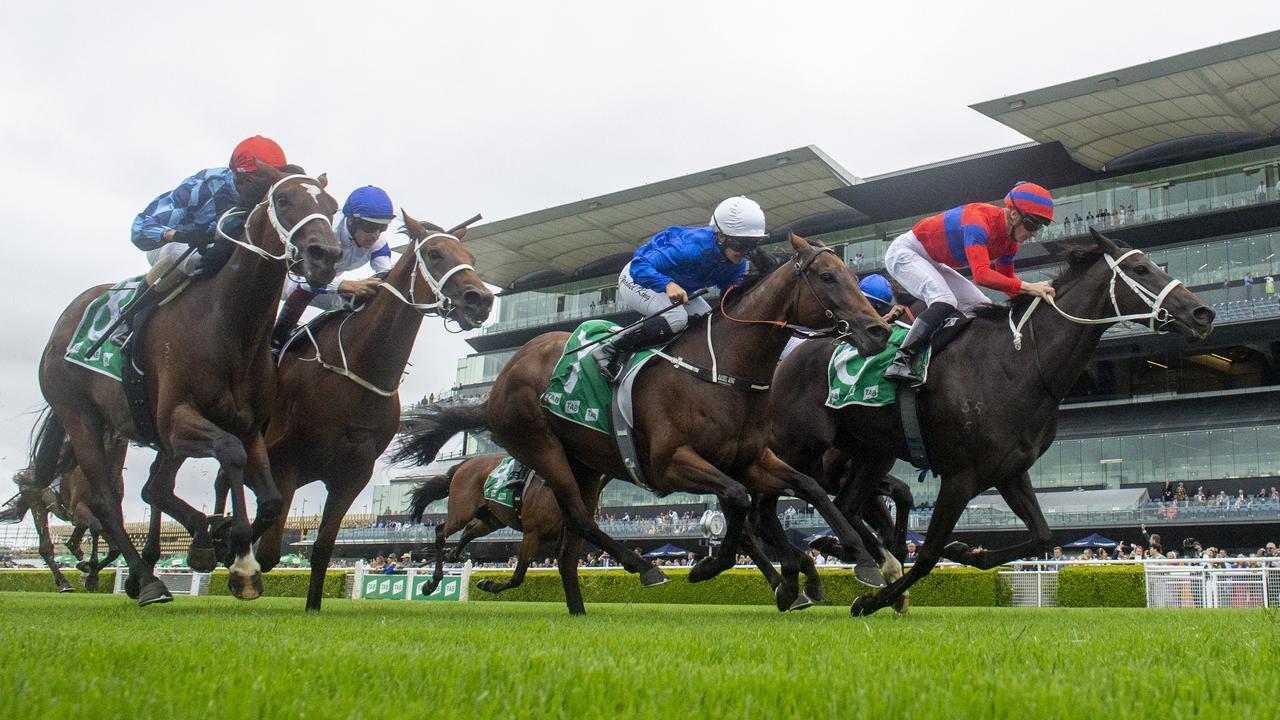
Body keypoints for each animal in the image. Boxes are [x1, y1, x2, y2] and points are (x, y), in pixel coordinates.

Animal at [35, 165, 343, 602]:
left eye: (332, 207)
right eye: (283, 200)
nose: (325, 256)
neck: (230, 325)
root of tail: (65, 320)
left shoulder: (249, 425)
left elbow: (269, 500)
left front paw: (225, 542)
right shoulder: (176, 419)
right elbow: (230, 454)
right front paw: (240, 560)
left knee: (153, 489)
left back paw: (180, 549)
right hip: (81, 418)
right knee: (107, 502)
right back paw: (148, 580)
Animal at [212, 211, 491, 604]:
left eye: (470, 256)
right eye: (434, 254)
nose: (480, 299)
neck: (357, 367)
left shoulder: (353, 472)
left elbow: (322, 550)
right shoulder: (287, 462)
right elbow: (267, 551)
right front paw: (235, 556)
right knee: (223, 479)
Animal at [396, 230, 890, 609]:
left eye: (851, 273)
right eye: (827, 276)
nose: (879, 329)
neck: (719, 371)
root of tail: (499, 382)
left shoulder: (749, 459)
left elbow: (806, 489)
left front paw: (863, 561)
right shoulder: (672, 464)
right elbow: (737, 502)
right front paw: (714, 568)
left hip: (584, 463)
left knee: (572, 537)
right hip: (540, 446)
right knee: (576, 518)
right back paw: (646, 568)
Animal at [762, 233, 1213, 614]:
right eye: (1141, 269)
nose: (1202, 311)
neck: (1019, 364)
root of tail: (791, 357)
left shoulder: (1010, 471)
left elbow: (1042, 536)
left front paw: (964, 553)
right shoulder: (960, 476)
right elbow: (928, 553)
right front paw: (872, 601)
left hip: (870, 454)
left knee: (844, 506)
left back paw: (849, 558)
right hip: (795, 445)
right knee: (766, 503)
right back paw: (801, 578)